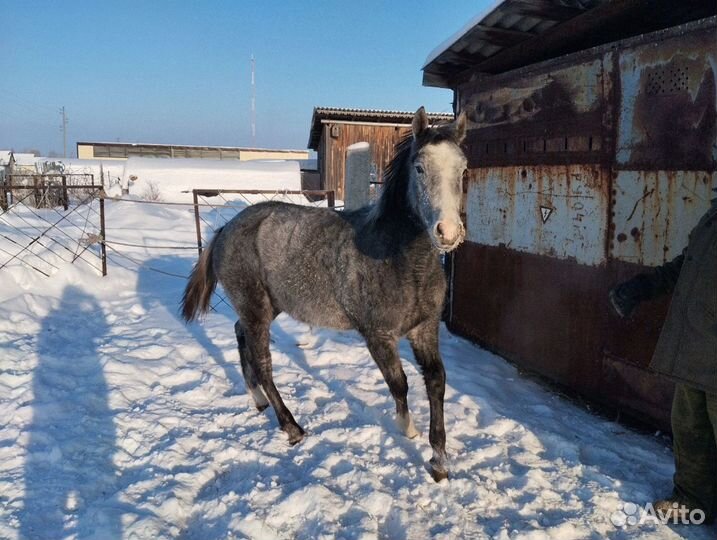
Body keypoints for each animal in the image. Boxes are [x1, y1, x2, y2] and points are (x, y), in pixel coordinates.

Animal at [181, 107, 467, 481]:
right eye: (419, 167)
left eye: (463, 168)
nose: (447, 233)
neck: (402, 261)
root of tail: (226, 228)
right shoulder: (378, 336)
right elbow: (399, 382)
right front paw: (407, 429)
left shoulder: (425, 329)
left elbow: (436, 381)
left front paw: (439, 461)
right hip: (256, 309)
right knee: (263, 363)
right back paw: (292, 428)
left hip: (264, 307)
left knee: (240, 335)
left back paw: (257, 400)